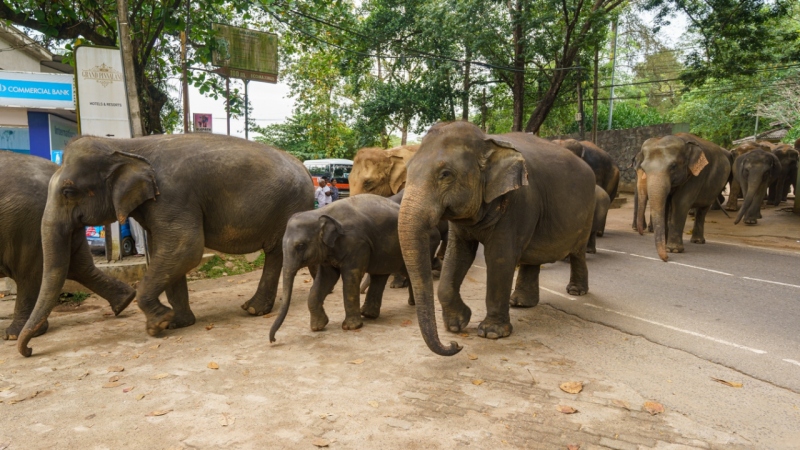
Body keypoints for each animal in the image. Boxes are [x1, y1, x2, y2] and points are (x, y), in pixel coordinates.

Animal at [17, 134, 314, 357]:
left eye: (68, 192)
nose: (29, 350)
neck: (126, 146)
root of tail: (305, 168)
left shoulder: (173, 196)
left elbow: (187, 247)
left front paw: (158, 323)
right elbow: (167, 250)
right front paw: (179, 323)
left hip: (291, 204)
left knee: (275, 252)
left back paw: (253, 310)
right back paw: (253, 308)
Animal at [269, 194, 439, 342]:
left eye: (300, 246)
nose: (273, 340)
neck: (320, 213)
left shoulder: (357, 244)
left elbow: (350, 278)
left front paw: (351, 327)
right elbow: (326, 279)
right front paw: (318, 327)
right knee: (381, 274)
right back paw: (374, 313)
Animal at [398, 121, 596, 356]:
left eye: (445, 174)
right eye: (408, 169)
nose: (456, 345)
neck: (488, 140)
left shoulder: (519, 201)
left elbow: (500, 258)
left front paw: (491, 333)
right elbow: (458, 254)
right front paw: (457, 324)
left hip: (586, 214)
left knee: (577, 252)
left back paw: (575, 291)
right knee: (532, 255)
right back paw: (520, 302)